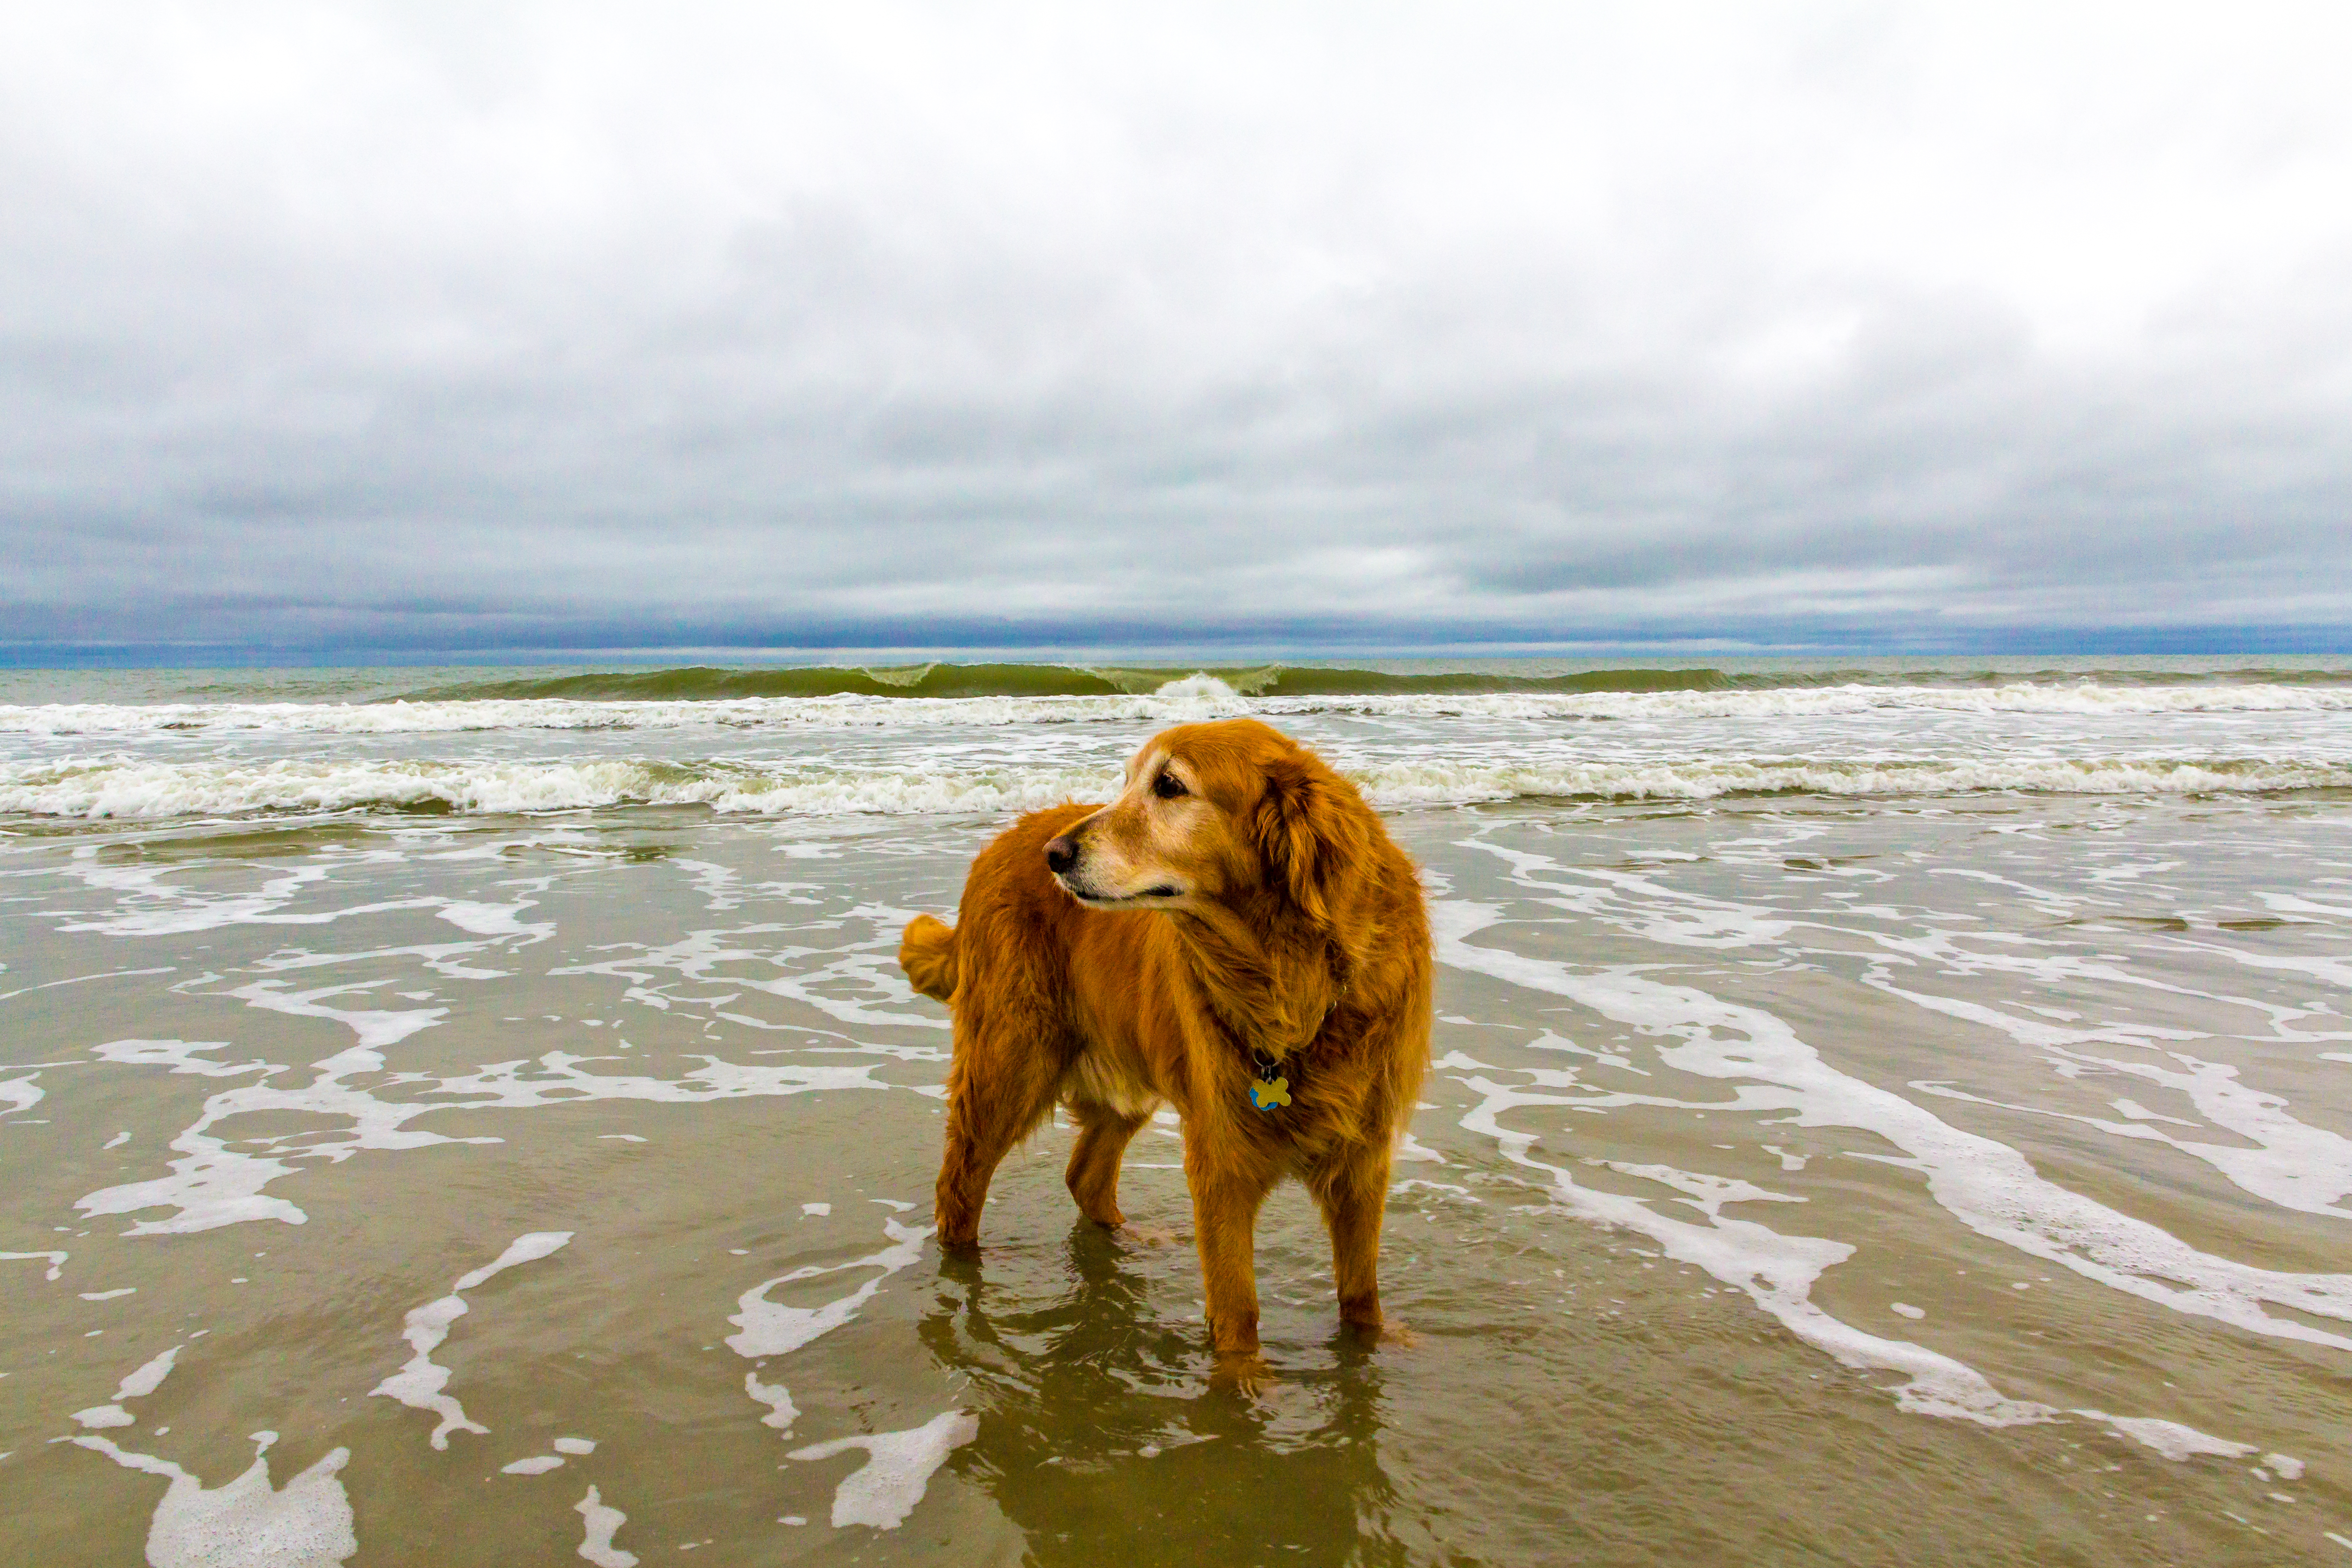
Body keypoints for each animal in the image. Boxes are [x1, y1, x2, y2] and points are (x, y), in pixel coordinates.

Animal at [898, 719, 1430, 1382]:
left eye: (1169, 785)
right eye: (1125, 782)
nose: (1055, 855)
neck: (1292, 978)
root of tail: (1004, 838)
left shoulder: (1364, 1158)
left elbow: (1361, 1296)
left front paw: (1366, 1352)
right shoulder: (1221, 1156)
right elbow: (1238, 1309)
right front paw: (1242, 1384)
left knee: (1085, 1176)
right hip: (1011, 1063)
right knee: (960, 1186)